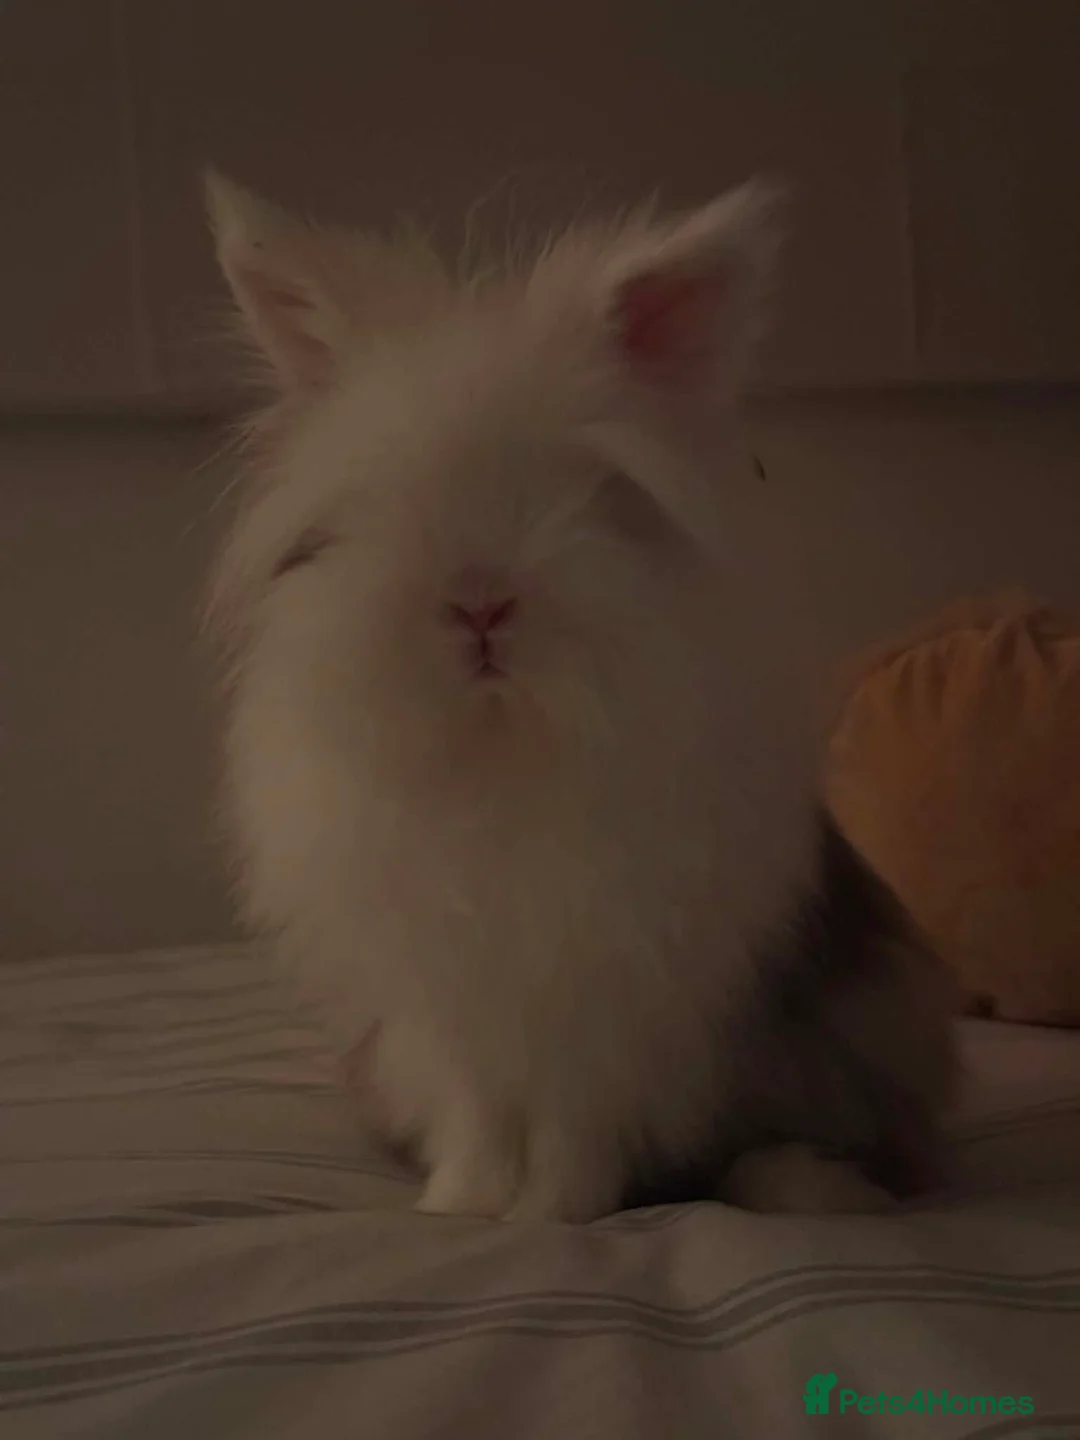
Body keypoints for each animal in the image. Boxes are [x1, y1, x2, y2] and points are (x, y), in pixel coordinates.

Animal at [205, 171, 957, 1223]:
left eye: (592, 492)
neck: (501, 746)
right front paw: (462, 1208)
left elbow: (573, 1124)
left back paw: (810, 1187)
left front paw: (555, 1214)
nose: (480, 602)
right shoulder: (451, 1004)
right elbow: (477, 1115)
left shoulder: (606, 1001)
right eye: (375, 496)